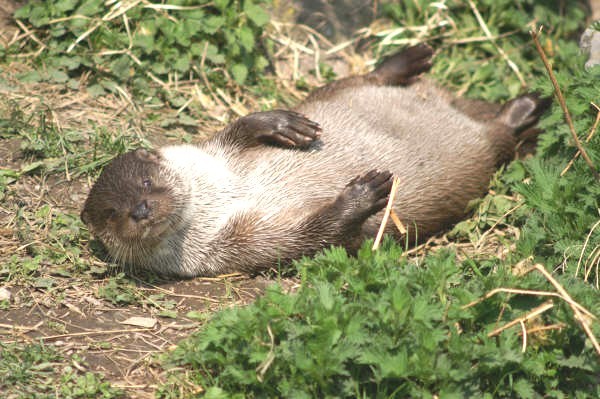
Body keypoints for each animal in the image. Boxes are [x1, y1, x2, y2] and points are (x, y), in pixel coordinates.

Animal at [82, 43, 552, 276]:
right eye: (112, 214)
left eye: (145, 182)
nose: (141, 209)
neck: (222, 195)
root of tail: (452, 104)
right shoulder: (239, 247)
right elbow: (314, 235)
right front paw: (363, 195)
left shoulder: (216, 151)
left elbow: (240, 127)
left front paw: (281, 124)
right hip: (483, 154)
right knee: (498, 138)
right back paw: (525, 109)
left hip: (342, 89)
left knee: (363, 78)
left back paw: (409, 59)